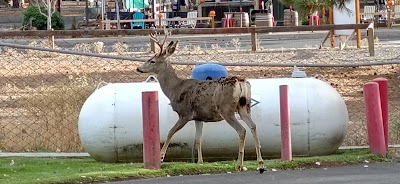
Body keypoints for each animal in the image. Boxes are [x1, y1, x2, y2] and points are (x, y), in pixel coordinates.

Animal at [137, 30, 266, 173]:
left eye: (152, 61)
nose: (138, 68)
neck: (174, 88)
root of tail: (241, 82)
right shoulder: (199, 117)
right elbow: (198, 139)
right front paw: (200, 162)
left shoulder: (185, 113)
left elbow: (170, 132)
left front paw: (160, 157)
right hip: (244, 106)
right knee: (253, 126)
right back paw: (260, 163)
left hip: (226, 109)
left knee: (242, 130)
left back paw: (239, 165)